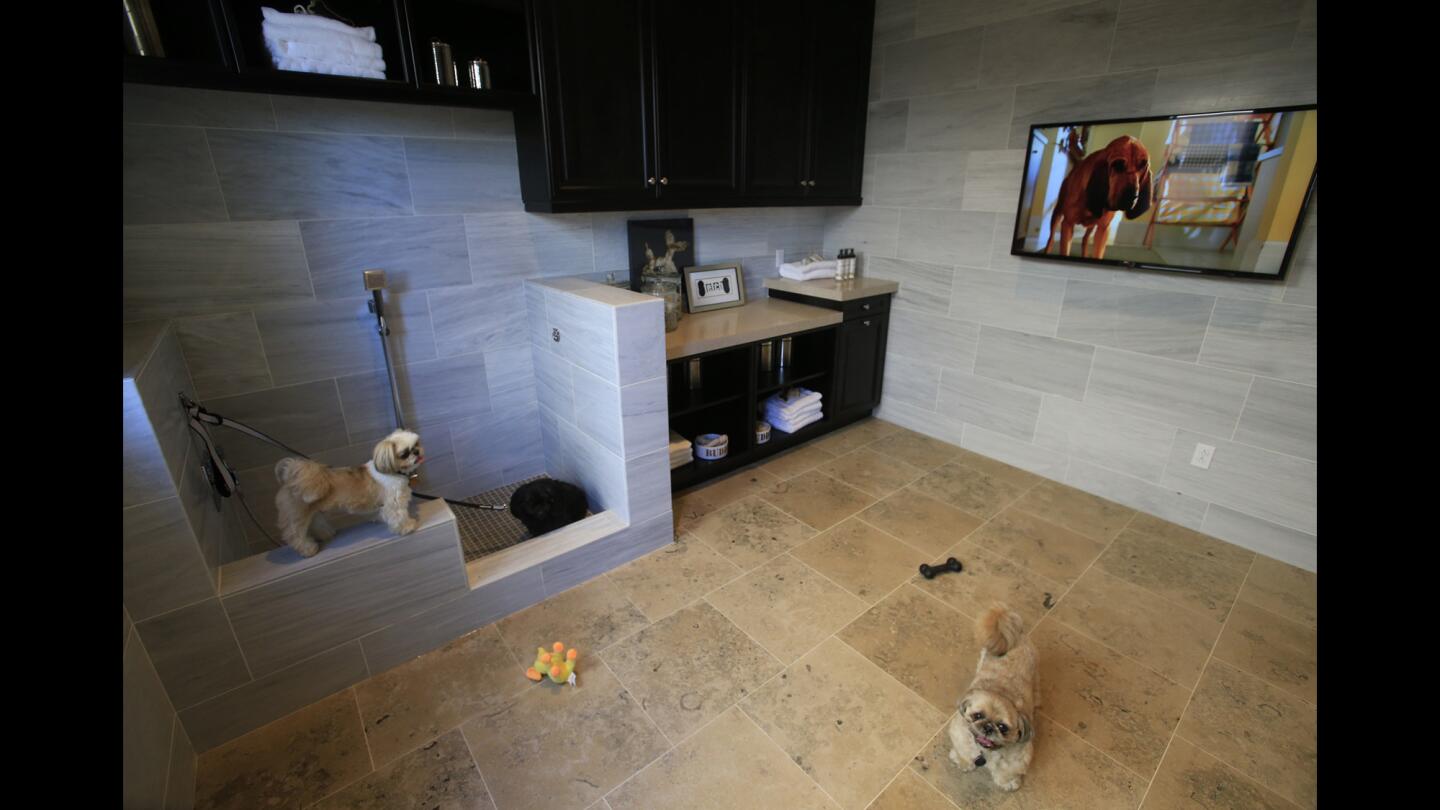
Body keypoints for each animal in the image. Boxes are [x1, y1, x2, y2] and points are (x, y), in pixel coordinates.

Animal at [272, 429, 423, 553]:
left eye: (416, 444)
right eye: (404, 454)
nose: (417, 452)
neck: (393, 472)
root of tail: (290, 480)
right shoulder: (394, 504)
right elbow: (399, 516)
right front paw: (408, 526)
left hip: (313, 511)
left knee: (315, 523)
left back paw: (325, 534)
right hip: (297, 515)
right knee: (294, 535)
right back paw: (308, 548)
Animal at [950, 605, 1042, 789]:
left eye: (1002, 727)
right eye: (977, 715)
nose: (988, 727)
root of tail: (1017, 636)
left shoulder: (1018, 757)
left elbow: (1007, 771)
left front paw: (1008, 782)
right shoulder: (960, 735)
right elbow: (963, 752)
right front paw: (963, 762)